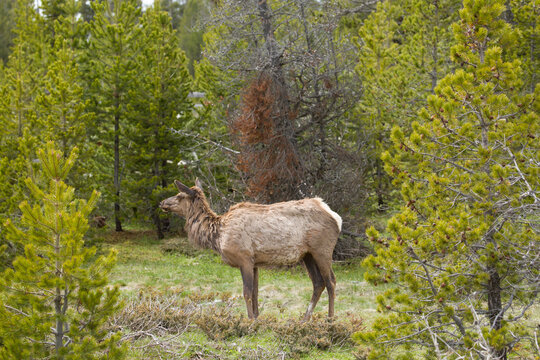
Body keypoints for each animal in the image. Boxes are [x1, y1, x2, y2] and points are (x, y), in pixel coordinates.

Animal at [158, 181, 342, 320]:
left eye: (179, 195)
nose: (162, 203)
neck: (218, 235)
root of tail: (336, 217)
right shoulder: (255, 262)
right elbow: (255, 293)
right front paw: (257, 317)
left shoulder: (244, 258)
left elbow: (246, 292)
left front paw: (249, 320)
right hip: (308, 255)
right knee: (318, 283)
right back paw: (304, 319)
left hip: (322, 249)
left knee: (331, 281)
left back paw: (330, 319)